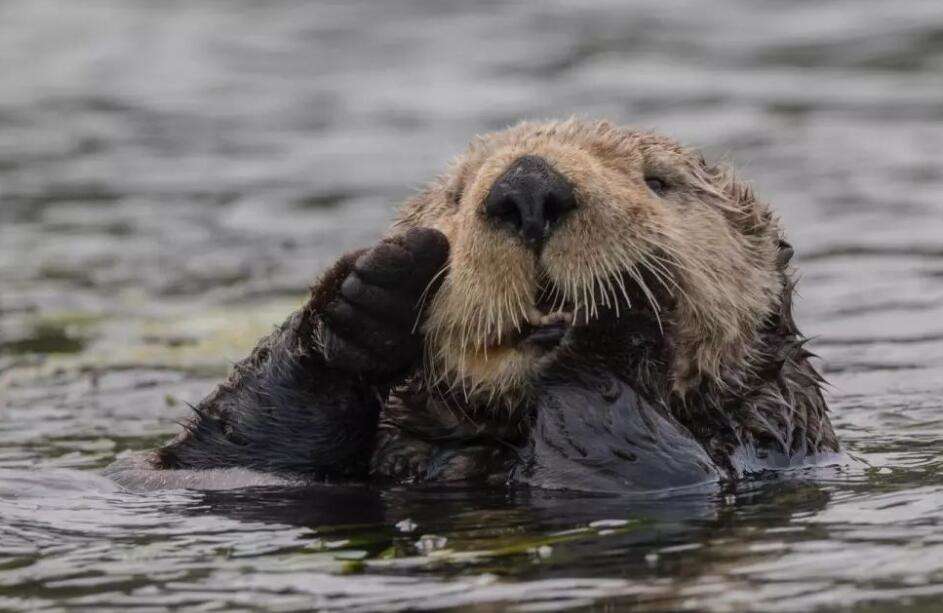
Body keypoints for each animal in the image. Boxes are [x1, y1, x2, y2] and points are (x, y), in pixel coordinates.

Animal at [109, 120, 840, 492]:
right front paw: (368, 296)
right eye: (456, 195)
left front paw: (621, 306)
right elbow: (224, 456)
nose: (528, 185)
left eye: (659, 183)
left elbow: (632, 460)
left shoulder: (750, 440)